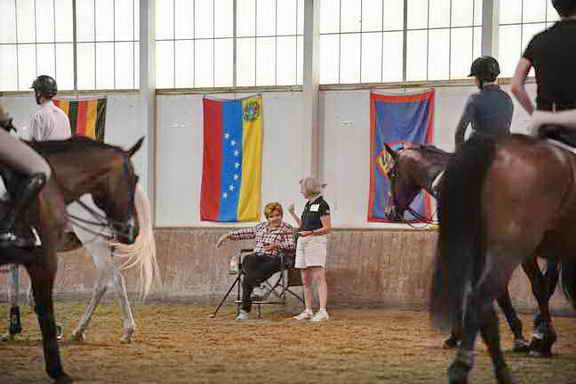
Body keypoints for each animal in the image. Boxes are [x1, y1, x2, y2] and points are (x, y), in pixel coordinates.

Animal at [0, 136, 143, 382]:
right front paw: (15, 324)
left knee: (114, 279)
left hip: (95, 243)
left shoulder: (42, 255)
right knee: (104, 282)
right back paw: (80, 330)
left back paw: (126, 330)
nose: (132, 229)